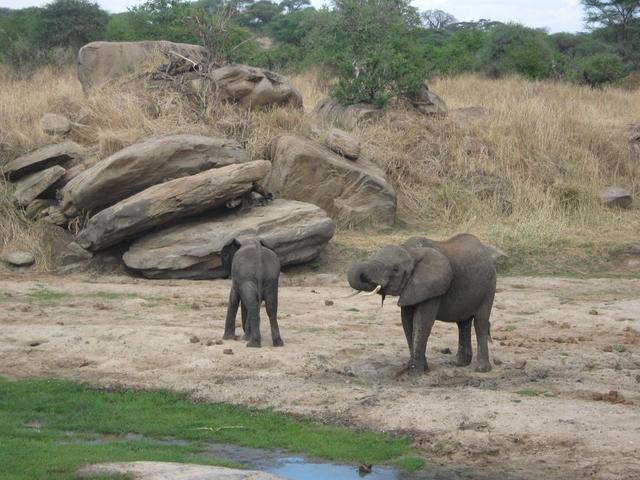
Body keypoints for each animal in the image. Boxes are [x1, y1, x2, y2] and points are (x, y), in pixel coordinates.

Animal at [348, 233, 498, 376]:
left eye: (396, 269)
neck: (411, 251)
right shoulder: (411, 287)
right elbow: (407, 322)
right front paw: (421, 369)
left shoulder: (432, 287)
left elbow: (421, 322)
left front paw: (415, 373)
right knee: (463, 323)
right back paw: (458, 363)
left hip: (490, 286)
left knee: (480, 322)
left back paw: (481, 369)